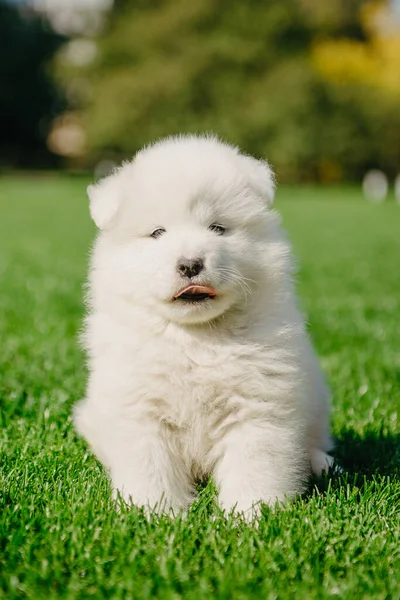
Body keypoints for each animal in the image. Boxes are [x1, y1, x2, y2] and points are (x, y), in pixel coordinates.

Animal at [73, 134, 332, 516]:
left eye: (217, 228)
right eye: (158, 232)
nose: (190, 264)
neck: (196, 337)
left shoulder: (257, 402)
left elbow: (255, 463)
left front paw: (253, 513)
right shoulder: (140, 406)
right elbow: (150, 464)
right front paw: (153, 511)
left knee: (315, 438)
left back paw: (319, 462)